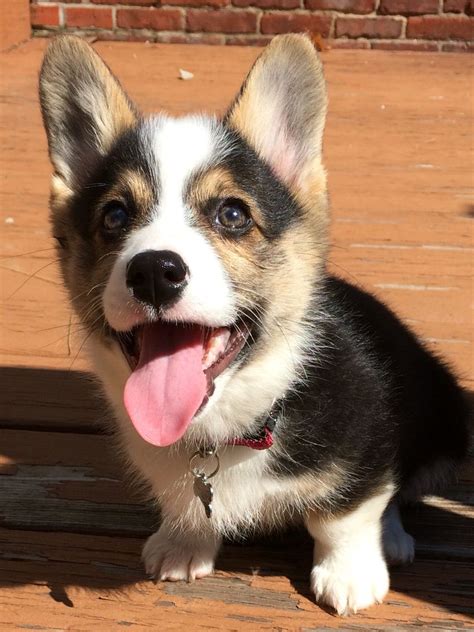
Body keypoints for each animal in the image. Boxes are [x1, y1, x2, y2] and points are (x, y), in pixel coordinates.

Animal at [39, 35, 468, 616]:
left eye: (233, 215)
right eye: (114, 216)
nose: (153, 272)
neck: (230, 425)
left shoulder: (368, 441)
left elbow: (346, 515)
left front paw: (351, 575)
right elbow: (186, 507)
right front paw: (183, 544)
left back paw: (394, 538)